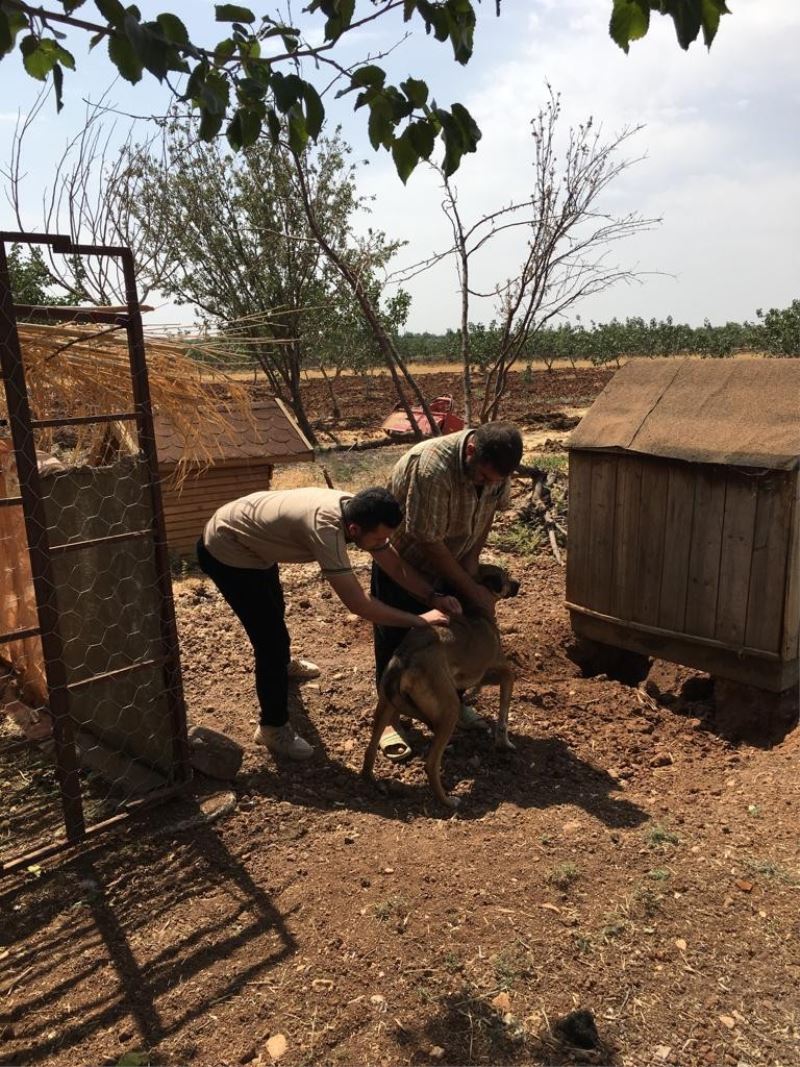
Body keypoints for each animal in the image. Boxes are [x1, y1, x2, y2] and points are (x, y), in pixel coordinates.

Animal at [362, 567, 520, 806]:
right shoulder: (502, 672)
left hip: (386, 704)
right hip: (449, 709)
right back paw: (448, 801)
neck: (476, 610)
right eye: (505, 576)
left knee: (370, 751)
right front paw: (505, 743)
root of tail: (404, 658)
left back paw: (370, 780)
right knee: (430, 764)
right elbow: (503, 715)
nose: (519, 583)